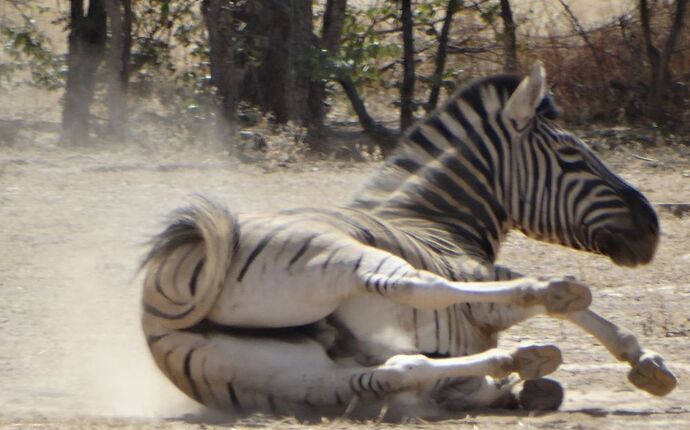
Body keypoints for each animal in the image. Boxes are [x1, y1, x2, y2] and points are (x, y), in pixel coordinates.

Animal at [138, 63, 672, 420]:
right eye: (570, 155)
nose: (653, 230)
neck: (433, 219)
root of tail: (160, 295)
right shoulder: (482, 286)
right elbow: (573, 310)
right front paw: (641, 357)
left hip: (296, 376)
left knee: (392, 370)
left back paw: (519, 359)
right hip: (341, 260)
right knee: (421, 288)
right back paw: (549, 299)